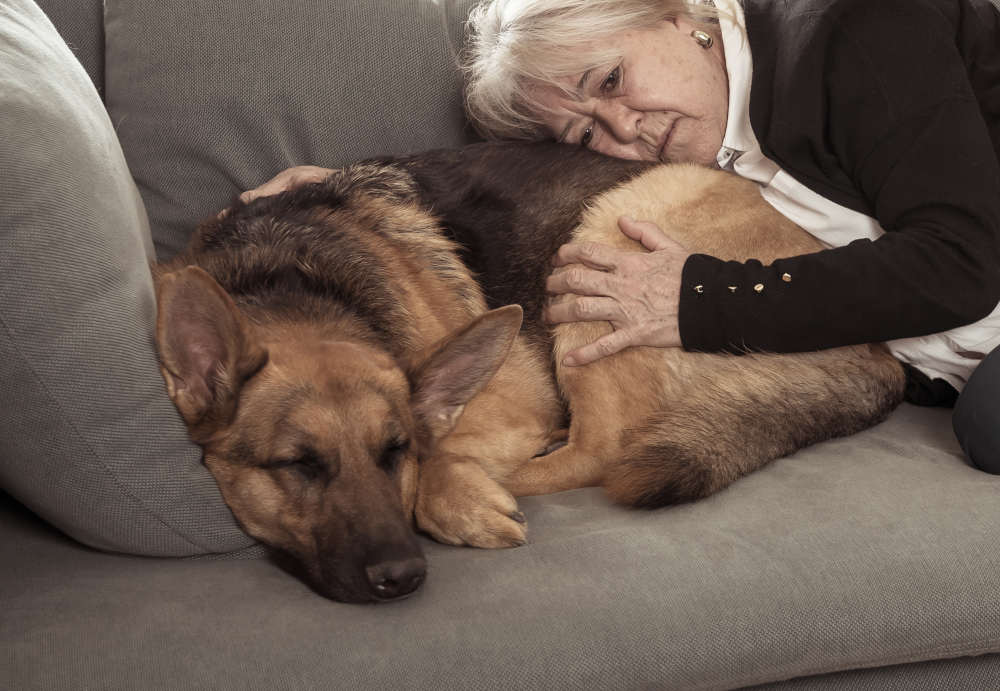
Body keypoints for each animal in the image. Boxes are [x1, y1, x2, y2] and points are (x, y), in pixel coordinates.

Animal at [150, 143, 908, 604]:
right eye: (296, 466)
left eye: (393, 452)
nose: (403, 575)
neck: (292, 282)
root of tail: (880, 356)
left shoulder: (505, 396)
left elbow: (439, 452)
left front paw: (456, 493)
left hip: (607, 235)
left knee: (601, 451)